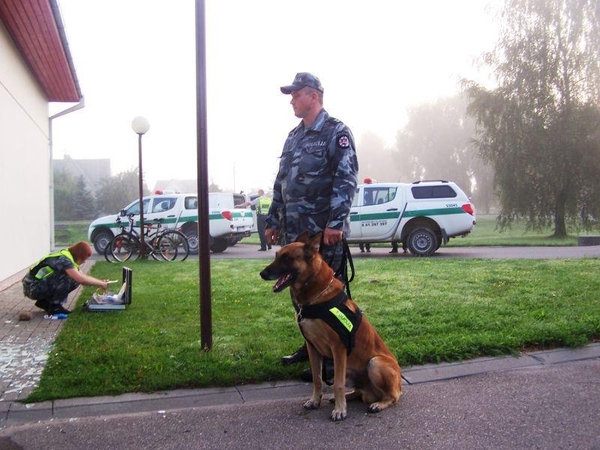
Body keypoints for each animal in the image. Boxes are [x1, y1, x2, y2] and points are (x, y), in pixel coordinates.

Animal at [258, 232, 404, 422]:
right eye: (276, 256)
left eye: (287, 258)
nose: (262, 274)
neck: (315, 297)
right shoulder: (312, 348)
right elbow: (318, 379)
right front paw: (315, 400)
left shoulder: (338, 348)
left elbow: (338, 384)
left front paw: (340, 410)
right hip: (348, 369)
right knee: (359, 392)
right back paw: (348, 397)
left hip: (374, 363)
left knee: (393, 397)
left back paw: (378, 404)